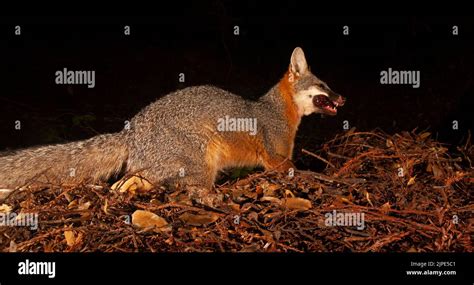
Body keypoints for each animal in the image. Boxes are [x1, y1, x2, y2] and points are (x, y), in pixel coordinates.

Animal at [1, 47, 346, 205]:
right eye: (323, 86)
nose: (342, 97)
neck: (275, 109)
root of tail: (131, 130)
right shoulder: (277, 159)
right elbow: (297, 171)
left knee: (126, 182)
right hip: (202, 162)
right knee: (193, 189)